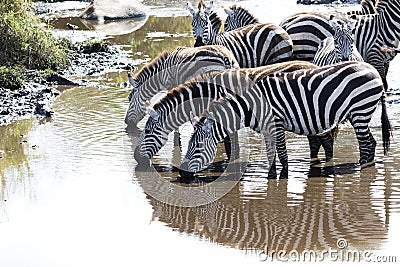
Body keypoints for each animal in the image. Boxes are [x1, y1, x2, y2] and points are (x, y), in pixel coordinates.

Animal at [180, 61, 390, 179]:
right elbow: (271, 155)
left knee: (366, 144)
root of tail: (372, 69)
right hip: (359, 113)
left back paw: (362, 168)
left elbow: (282, 155)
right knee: (371, 142)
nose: (181, 173)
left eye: (197, 147)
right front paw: (271, 175)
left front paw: (283, 176)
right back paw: (366, 165)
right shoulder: (267, 130)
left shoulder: (277, 124)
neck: (252, 106)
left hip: (360, 111)